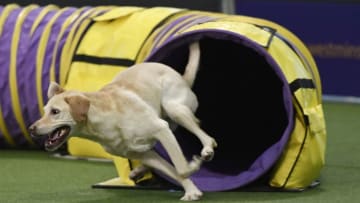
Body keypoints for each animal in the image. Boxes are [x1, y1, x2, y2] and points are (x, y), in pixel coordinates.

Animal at [28, 41, 217, 201]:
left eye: (55, 112)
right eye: (44, 112)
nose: (31, 128)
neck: (107, 120)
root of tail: (181, 77)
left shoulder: (160, 129)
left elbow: (181, 168)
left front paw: (194, 167)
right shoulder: (142, 153)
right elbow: (174, 170)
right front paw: (192, 190)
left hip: (175, 110)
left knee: (206, 136)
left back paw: (207, 150)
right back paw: (138, 172)